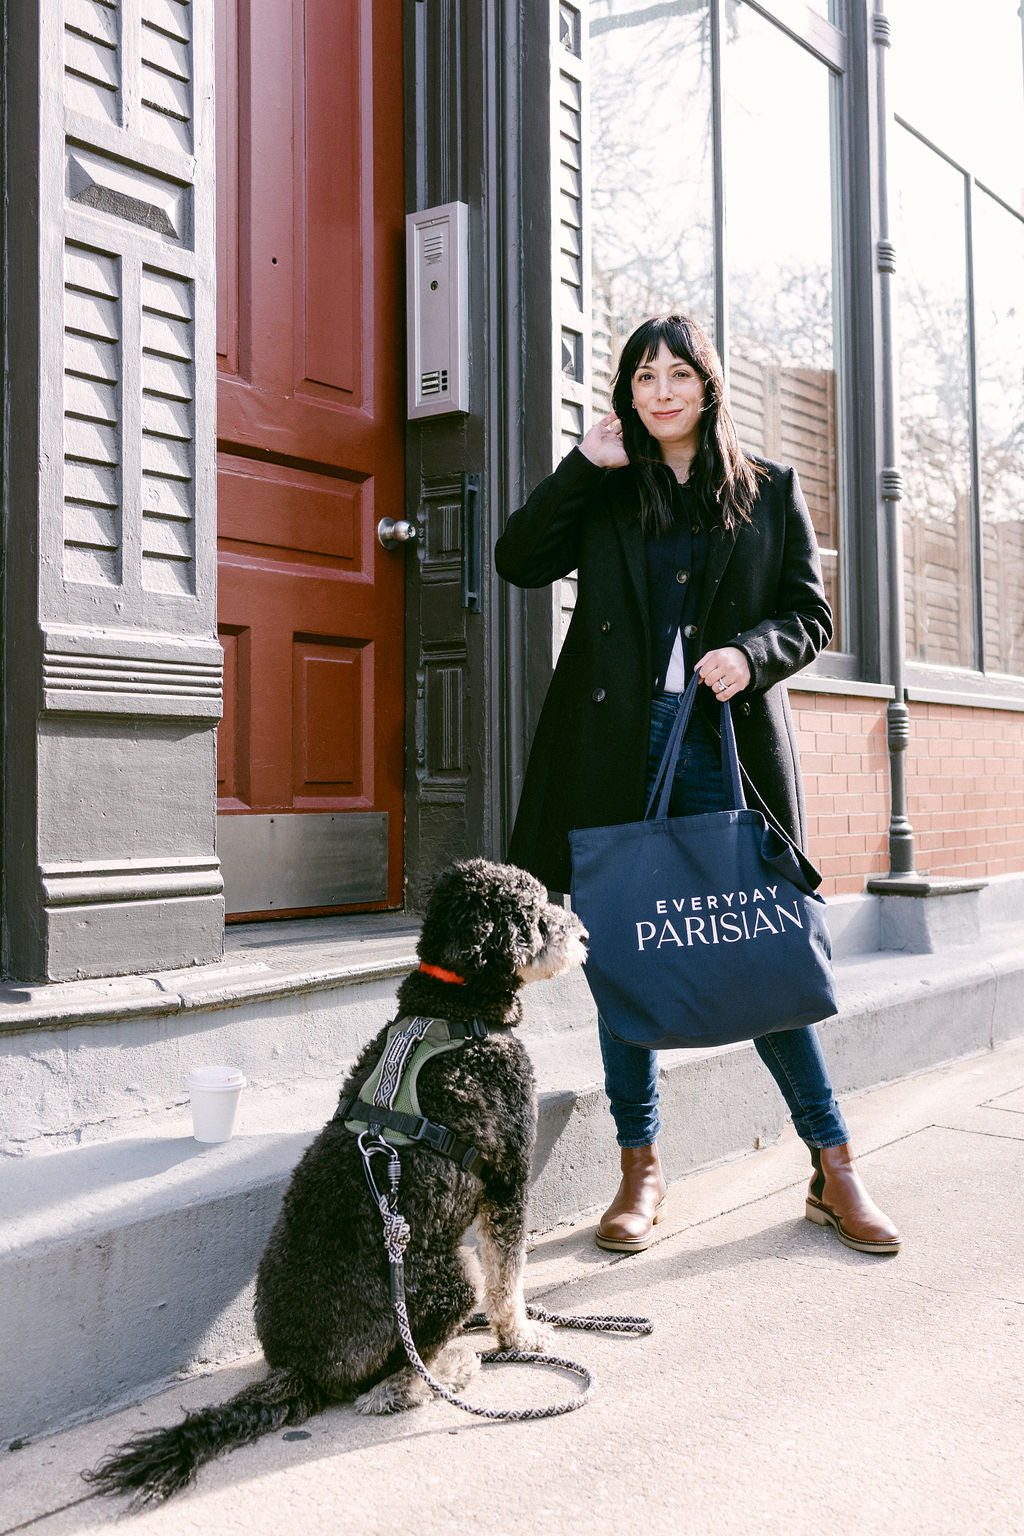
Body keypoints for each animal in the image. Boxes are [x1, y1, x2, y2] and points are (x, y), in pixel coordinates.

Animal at [84, 860, 589, 1505]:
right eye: (536, 914)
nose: (582, 933)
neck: (454, 1004)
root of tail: (303, 1368)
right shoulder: (508, 1178)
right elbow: (509, 1277)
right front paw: (521, 1338)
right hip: (449, 1276)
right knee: (391, 1380)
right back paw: (442, 1370)